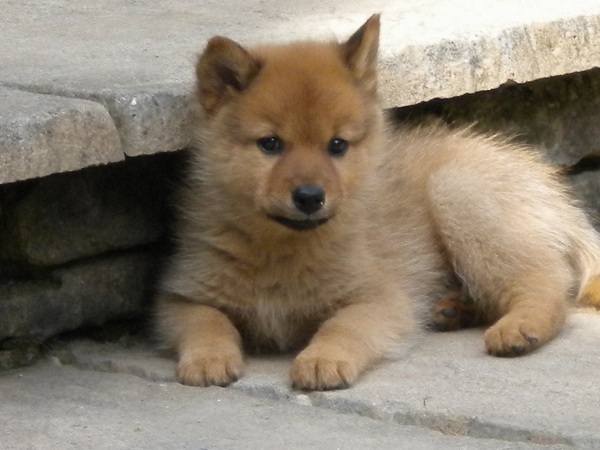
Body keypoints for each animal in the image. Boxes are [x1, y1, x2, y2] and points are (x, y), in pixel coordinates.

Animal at [157, 14, 600, 390]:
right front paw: (208, 358)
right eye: (270, 144)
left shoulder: (380, 299)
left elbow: (342, 327)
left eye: (337, 145)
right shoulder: (180, 298)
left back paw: (518, 328)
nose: (310, 197)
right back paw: (453, 309)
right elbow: (207, 322)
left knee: (547, 284)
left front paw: (323, 360)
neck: (282, 252)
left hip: (458, 192)